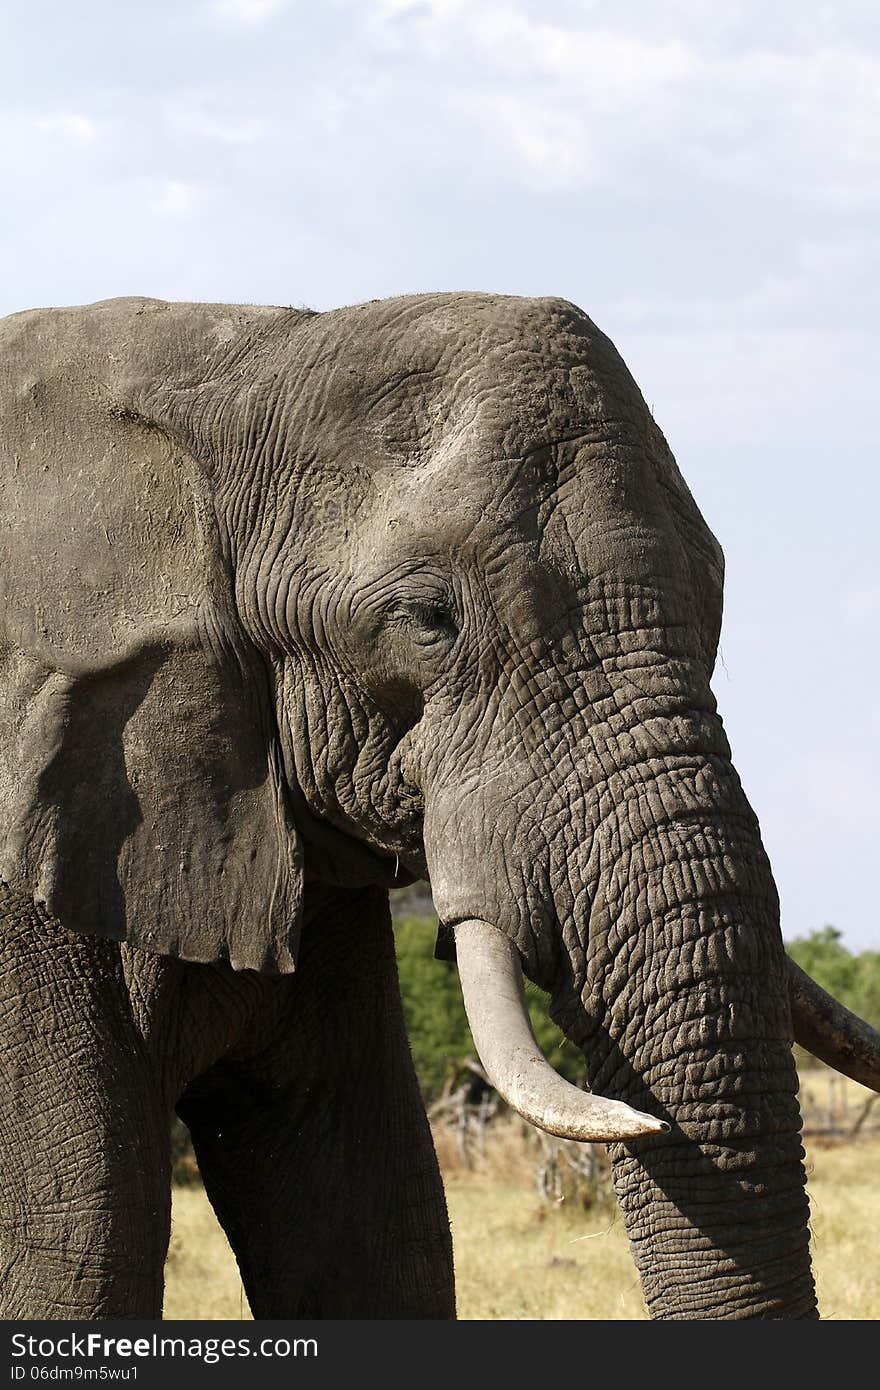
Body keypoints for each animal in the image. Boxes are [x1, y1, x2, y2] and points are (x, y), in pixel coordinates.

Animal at [0, 287, 873, 1317]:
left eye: (722, 597)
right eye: (428, 621)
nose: (649, 1124)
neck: (227, 362)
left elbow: (369, 1215)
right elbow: (76, 1241)